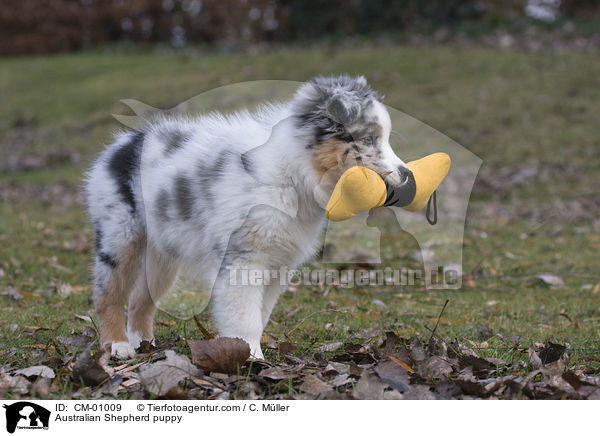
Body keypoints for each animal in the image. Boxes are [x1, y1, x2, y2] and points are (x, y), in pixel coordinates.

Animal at [85, 76, 412, 362]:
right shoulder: (243, 258)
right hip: (120, 235)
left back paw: (144, 343)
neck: (293, 173)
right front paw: (251, 357)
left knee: (141, 298)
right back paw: (117, 346)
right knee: (107, 295)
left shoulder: (278, 263)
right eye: (368, 139)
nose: (407, 175)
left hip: (163, 253)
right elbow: (244, 316)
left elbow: (260, 312)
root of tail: (120, 146)